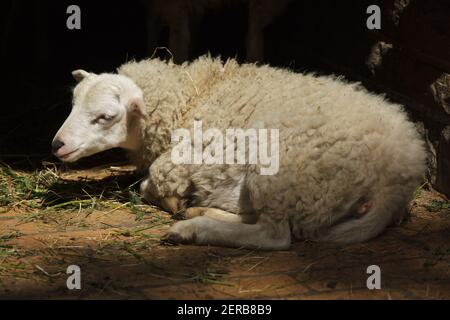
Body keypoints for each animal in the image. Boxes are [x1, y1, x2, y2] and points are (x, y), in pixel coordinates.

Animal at [51, 55, 426, 250]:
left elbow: (147, 185)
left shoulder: (181, 160)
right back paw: (200, 212)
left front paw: (172, 201)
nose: (57, 145)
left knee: (275, 236)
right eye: (72, 103)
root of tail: (397, 177)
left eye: (105, 116)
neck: (193, 96)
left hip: (284, 174)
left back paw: (193, 228)